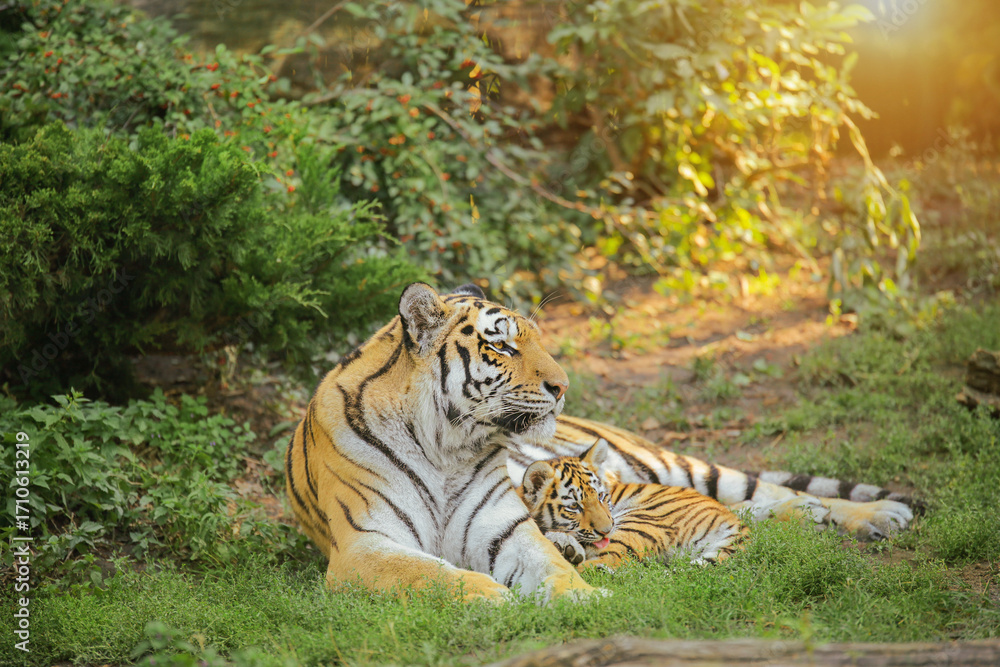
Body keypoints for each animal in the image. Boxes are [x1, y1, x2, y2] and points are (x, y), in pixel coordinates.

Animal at [518, 439, 748, 571]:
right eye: (574, 507)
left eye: (601, 496)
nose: (606, 530)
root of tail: (739, 525)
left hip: (637, 523)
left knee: (608, 561)